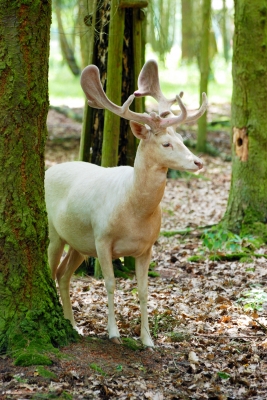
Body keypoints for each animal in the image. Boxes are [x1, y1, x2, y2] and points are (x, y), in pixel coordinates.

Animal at [45, 60, 208, 346]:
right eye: (166, 143)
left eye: (182, 140)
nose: (198, 162)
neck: (134, 212)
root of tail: (46, 170)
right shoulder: (102, 238)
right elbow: (110, 283)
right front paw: (114, 333)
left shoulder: (147, 247)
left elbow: (143, 290)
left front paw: (148, 340)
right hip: (55, 233)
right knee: (51, 270)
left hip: (79, 243)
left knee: (64, 275)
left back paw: (73, 325)